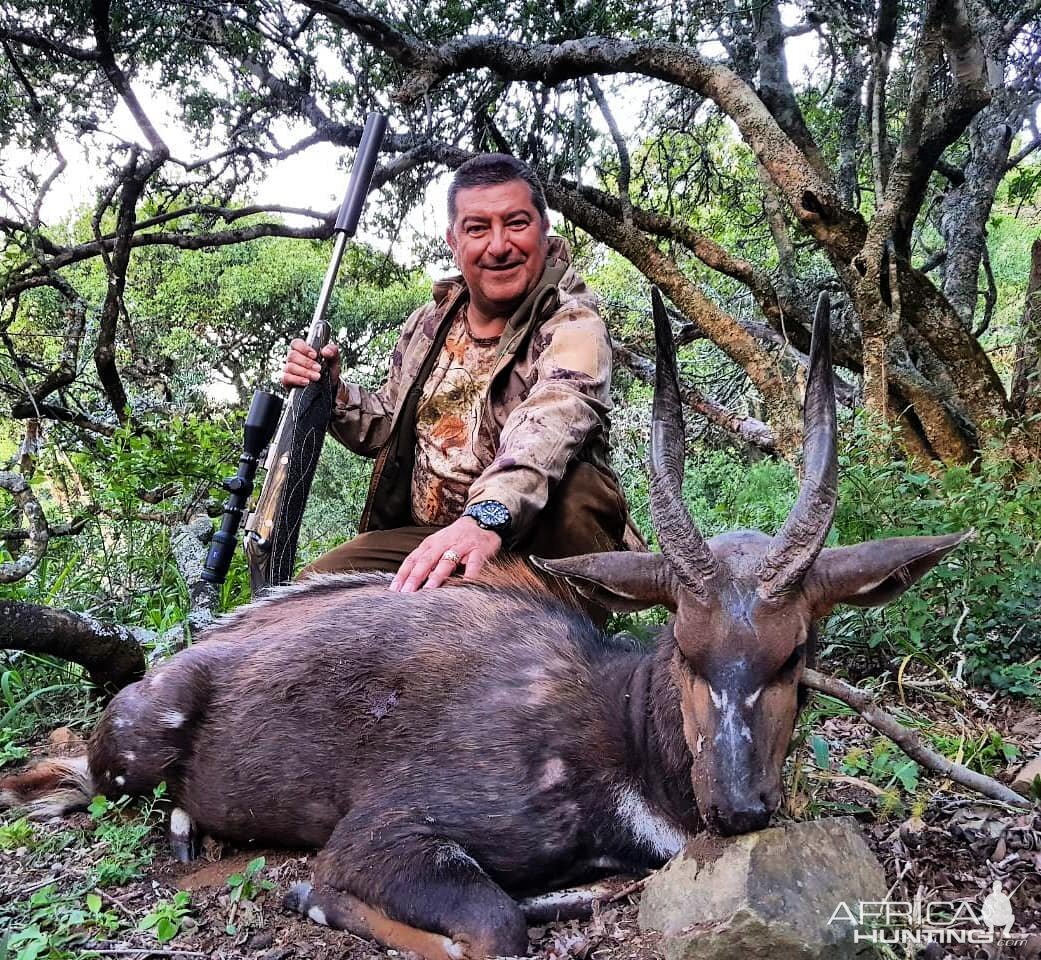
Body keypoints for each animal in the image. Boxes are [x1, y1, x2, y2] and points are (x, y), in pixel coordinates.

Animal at [2, 289, 966, 957]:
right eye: (684, 646)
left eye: (796, 652)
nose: (738, 807)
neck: (618, 731)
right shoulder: (386, 831)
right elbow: (489, 924)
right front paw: (305, 896)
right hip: (132, 754)